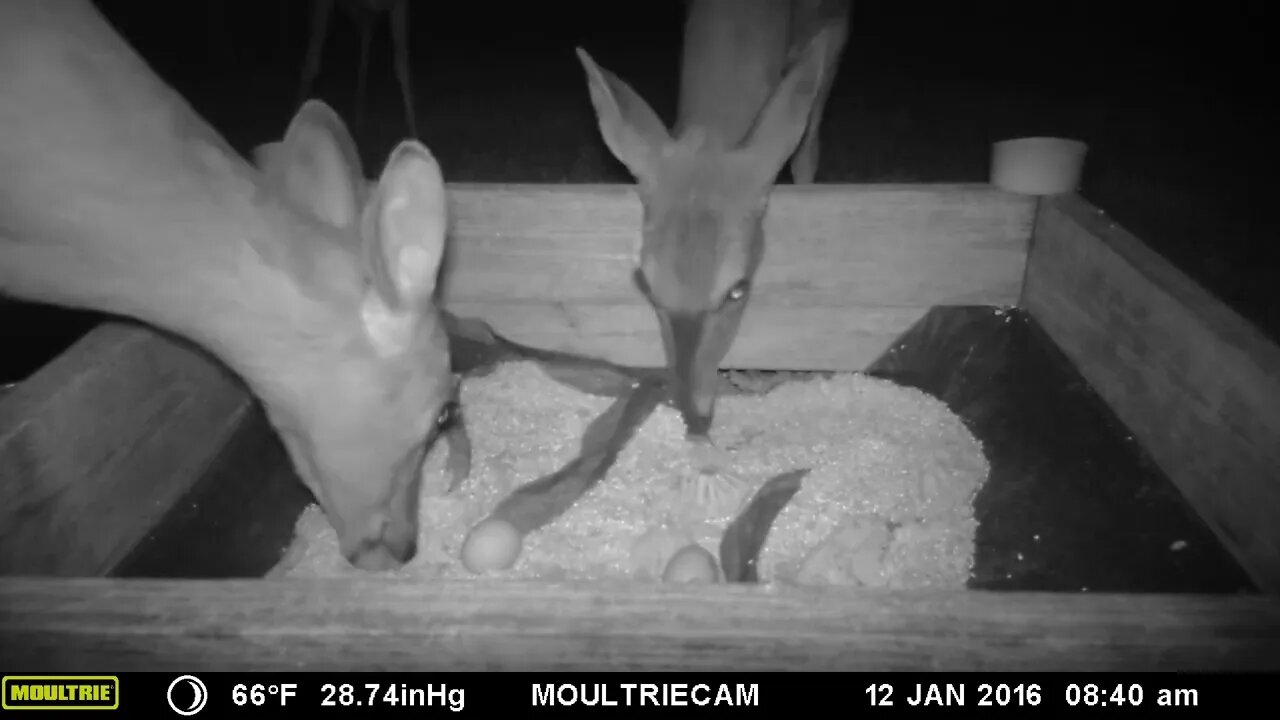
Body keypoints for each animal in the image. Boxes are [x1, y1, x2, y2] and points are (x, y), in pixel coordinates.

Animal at [293, 0, 414, 137]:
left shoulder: (397, 5)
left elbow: (402, 67)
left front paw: (414, 133)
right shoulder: (323, 4)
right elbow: (311, 64)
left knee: (366, 40)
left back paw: (359, 121)